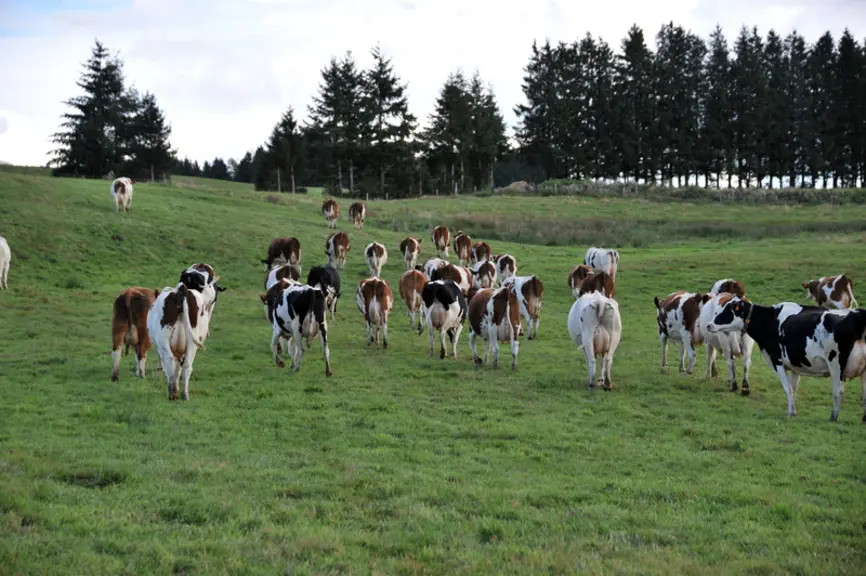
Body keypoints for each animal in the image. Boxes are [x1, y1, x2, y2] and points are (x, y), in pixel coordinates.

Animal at [706, 297, 866, 422]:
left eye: (728, 311)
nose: (709, 325)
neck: (770, 319)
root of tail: (857, 314)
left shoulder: (776, 360)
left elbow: (787, 387)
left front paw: (790, 412)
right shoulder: (796, 365)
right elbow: (793, 388)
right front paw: (793, 409)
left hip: (836, 365)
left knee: (838, 391)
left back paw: (833, 417)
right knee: (863, 394)